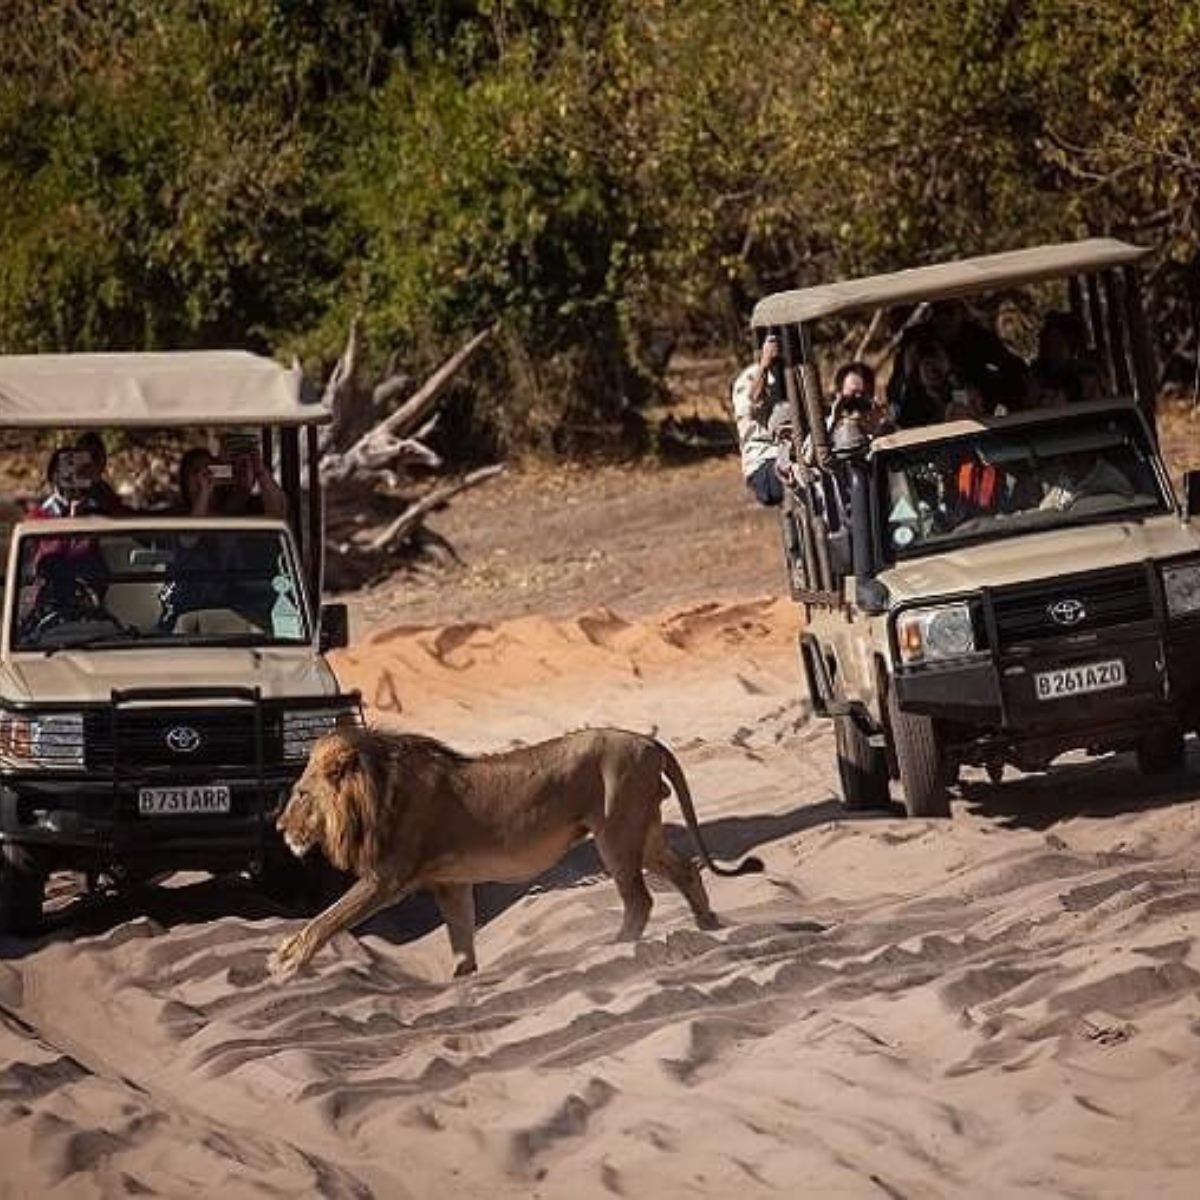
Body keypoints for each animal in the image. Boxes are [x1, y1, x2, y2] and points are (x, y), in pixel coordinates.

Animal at [268, 725, 764, 979]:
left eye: (301, 795)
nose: (278, 828)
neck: (375, 790)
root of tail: (648, 739)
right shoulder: (449, 883)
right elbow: (461, 935)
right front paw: (462, 979)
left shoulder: (386, 878)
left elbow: (328, 918)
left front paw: (287, 960)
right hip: (643, 834)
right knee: (686, 871)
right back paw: (711, 925)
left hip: (616, 832)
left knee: (640, 899)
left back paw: (614, 948)